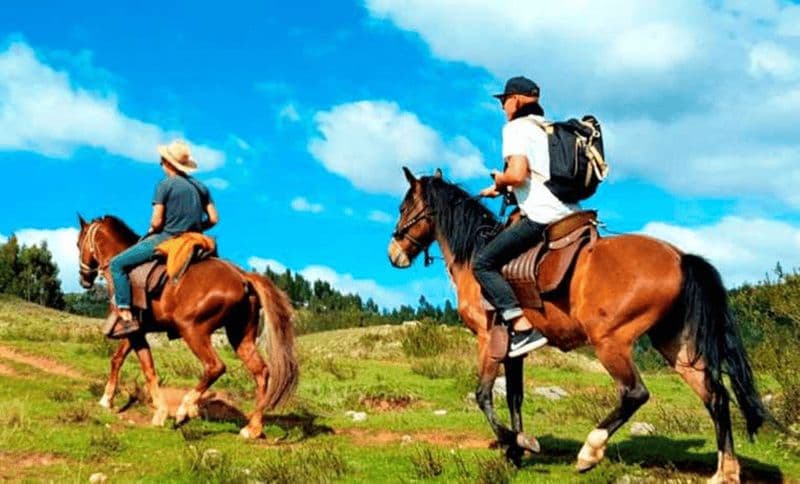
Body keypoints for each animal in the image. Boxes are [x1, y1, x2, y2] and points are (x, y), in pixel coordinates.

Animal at [77, 214, 298, 438]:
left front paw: (157, 411)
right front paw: (110, 399)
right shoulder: (136, 331)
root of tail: (243, 276)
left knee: (215, 367)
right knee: (261, 372)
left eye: (78, 243)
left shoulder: (135, 331)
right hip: (240, 336)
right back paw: (252, 428)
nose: (83, 279)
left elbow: (146, 367)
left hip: (193, 331)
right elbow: (120, 360)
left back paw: (185, 410)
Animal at [387, 168, 766, 484]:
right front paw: (516, 451)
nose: (394, 254)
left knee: (635, 393)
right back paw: (725, 472)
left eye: (404, 207)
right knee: (715, 396)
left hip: (610, 342)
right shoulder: (514, 350)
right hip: (674, 344)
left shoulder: (487, 340)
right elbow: (514, 397)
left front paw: (517, 442)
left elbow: (483, 395)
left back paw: (589, 452)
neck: (474, 255)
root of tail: (678, 257)